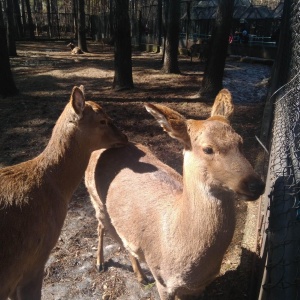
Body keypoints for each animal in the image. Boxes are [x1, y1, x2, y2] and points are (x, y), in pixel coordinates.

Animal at [85, 89, 264, 300]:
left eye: (240, 142)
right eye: (208, 149)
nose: (256, 185)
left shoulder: (198, 288)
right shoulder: (162, 280)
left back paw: (140, 276)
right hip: (96, 199)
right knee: (101, 226)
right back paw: (100, 264)